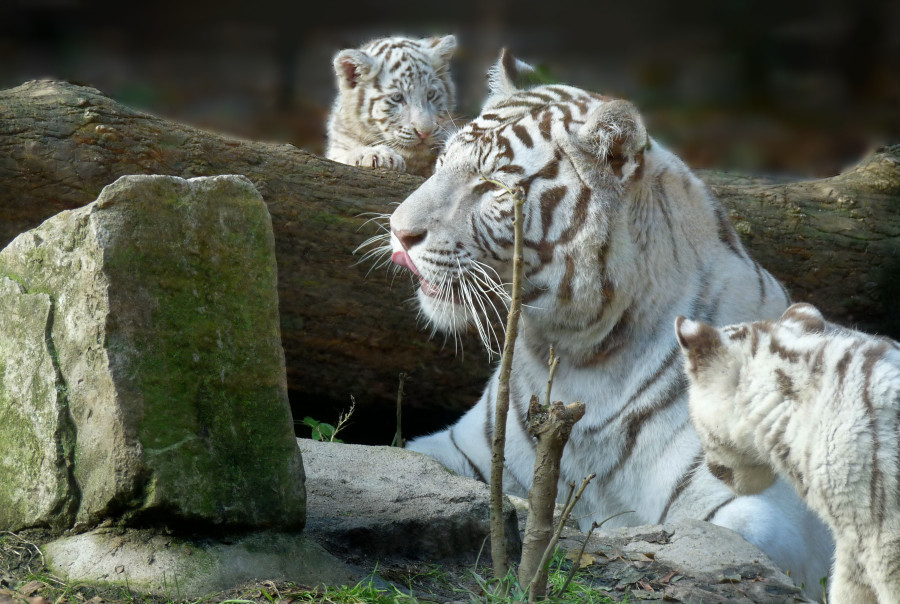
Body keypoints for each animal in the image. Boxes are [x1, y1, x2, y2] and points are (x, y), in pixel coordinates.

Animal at [374, 49, 836, 596]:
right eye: (441, 164)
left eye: (493, 187)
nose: (398, 231)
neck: (581, 352)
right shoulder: (459, 451)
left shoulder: (765, 513)